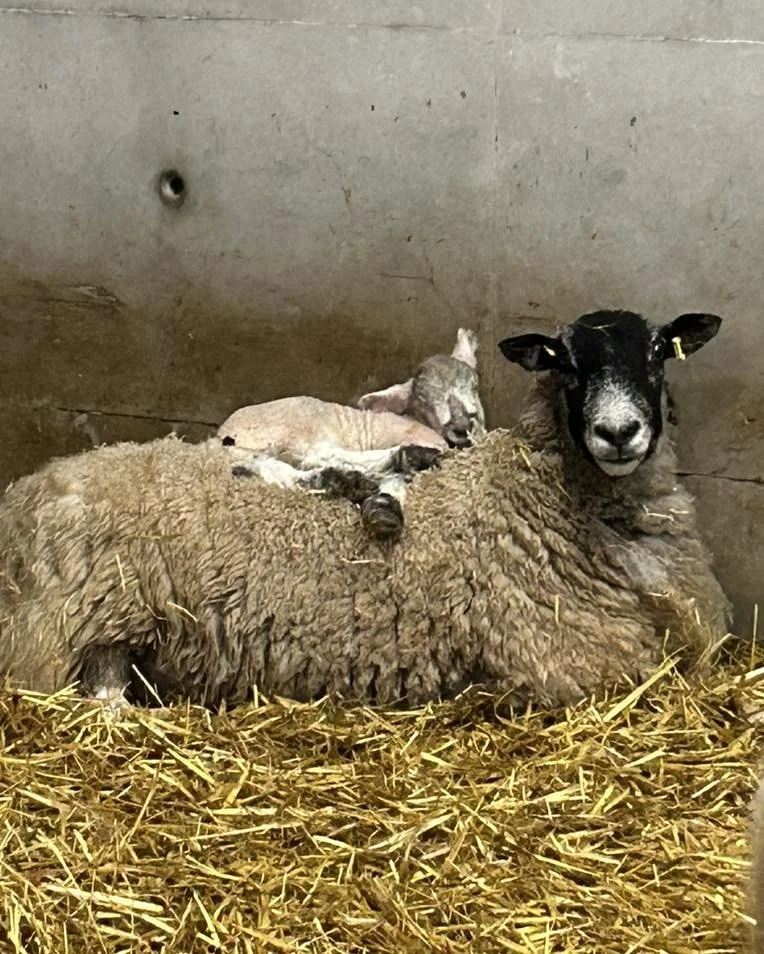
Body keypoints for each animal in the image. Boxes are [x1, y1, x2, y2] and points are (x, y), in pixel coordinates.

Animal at [217, 327, 485, 538]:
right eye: (424, 400)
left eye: (474, 384)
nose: (461, 426)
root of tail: (219, 437)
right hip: (287, 435)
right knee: (311, 459)